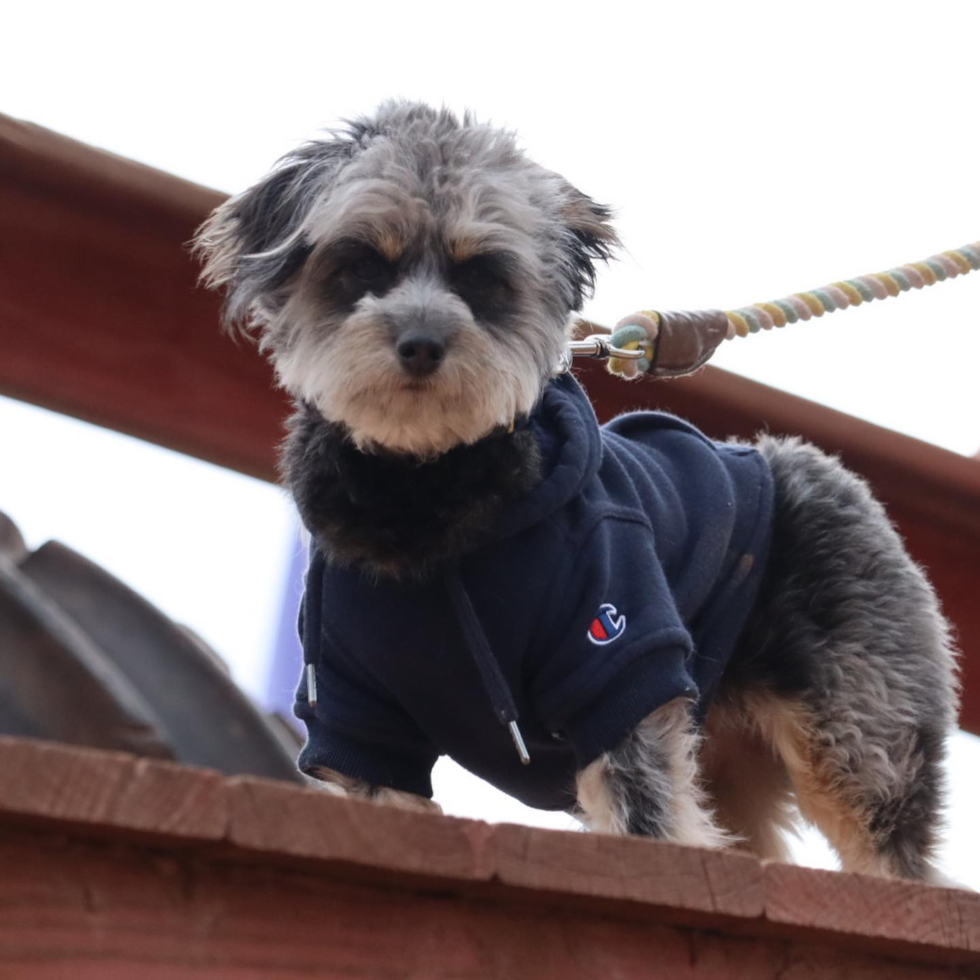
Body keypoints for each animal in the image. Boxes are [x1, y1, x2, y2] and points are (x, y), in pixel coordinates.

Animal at [195, 99, 960, 880]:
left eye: (483, 277)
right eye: (360, 266)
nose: (421, 343)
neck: (424, 492)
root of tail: (819, 465)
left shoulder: (620, 666)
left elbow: (645, 824)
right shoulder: (360, 719)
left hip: (860, 730)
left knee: (890, 856)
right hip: (726, 750)